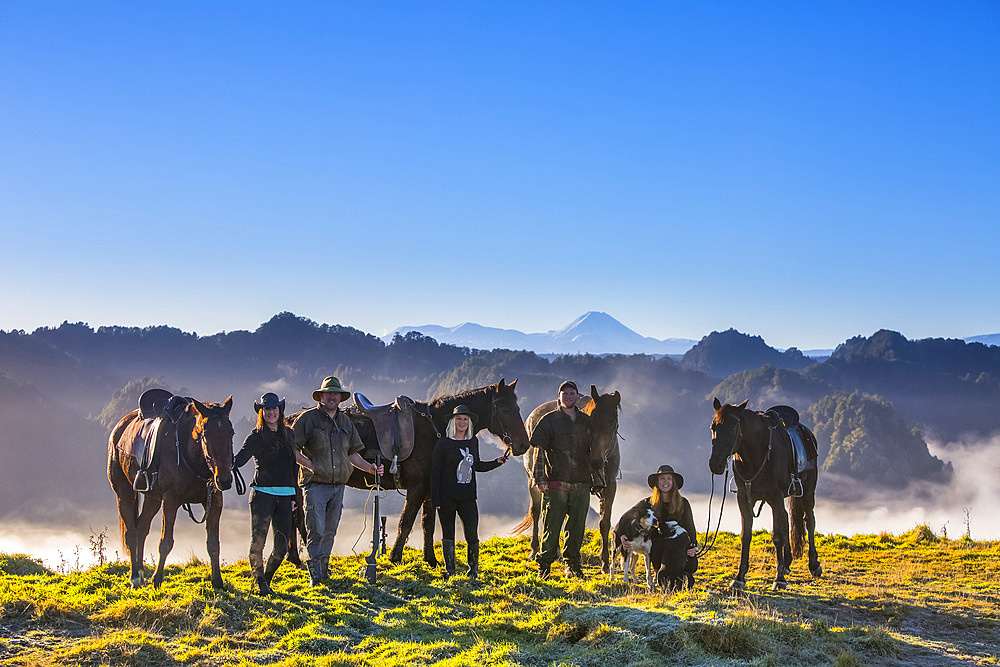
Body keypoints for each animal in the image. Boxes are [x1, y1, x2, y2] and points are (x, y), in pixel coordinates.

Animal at [107, 396, 236, 588]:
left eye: (231, 432)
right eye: (205, 434)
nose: (224, 479)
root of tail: (119, 428)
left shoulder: (214, 502)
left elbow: (213, 544)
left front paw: (217, 581)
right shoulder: (170, 501)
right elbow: (166, 542)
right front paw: (157, 579)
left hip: (153, 499)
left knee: (141, 529)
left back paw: (140, 573)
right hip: (124, 493)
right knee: (131, 533)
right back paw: (135, 577)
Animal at [512, 386, 620, 576]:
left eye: (613, 424)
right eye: (590, 424)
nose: (596, 461)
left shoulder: (610, 486)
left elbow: (604, 523)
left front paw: (605, 562)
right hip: (534, 482)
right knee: (538, 512)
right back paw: (536, 550)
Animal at [704, 396, 820, 588]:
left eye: (733, 427)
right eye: (713, 427)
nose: (716, 464)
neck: (756, 454)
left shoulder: (775, 497)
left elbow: (777, 536)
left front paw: (779, 579)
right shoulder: (744, 498)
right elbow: (746, 535)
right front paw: (739, 577)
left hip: (808, 490)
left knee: (809, 519)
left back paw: (813, 564)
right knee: (786, 518)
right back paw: (787, 562)